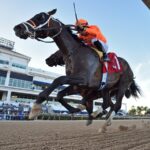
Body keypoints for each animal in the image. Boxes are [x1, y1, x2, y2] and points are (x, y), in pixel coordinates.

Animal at [13, 9, 141, 122]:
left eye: (41, 17)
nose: (18, 28)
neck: (76, 52)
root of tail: (130, 68)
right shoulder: (76, 85)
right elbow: (59, 95)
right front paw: (75, 109)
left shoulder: (84, 80)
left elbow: (59, 80)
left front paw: (36, 105)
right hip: (107, 89)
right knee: (108, 103)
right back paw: (99, 114)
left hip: (122, 85)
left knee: (117, 105)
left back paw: (105, 120)